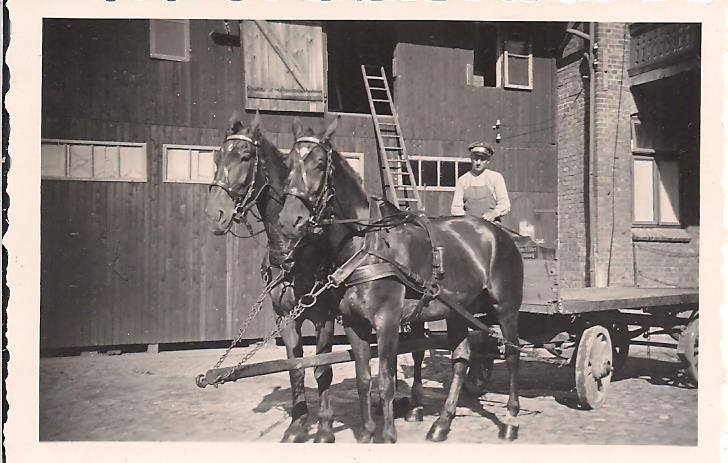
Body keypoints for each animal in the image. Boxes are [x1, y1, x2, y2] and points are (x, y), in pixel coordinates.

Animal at [205, 111, 342, 442]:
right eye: (217, 157)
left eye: (245, 156)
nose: (215, 214)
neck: (296, 251)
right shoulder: (285, 318)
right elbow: (295, 367)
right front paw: (297, 425)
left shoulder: (325, 318)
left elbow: (323, 368)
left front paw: (325, 427)